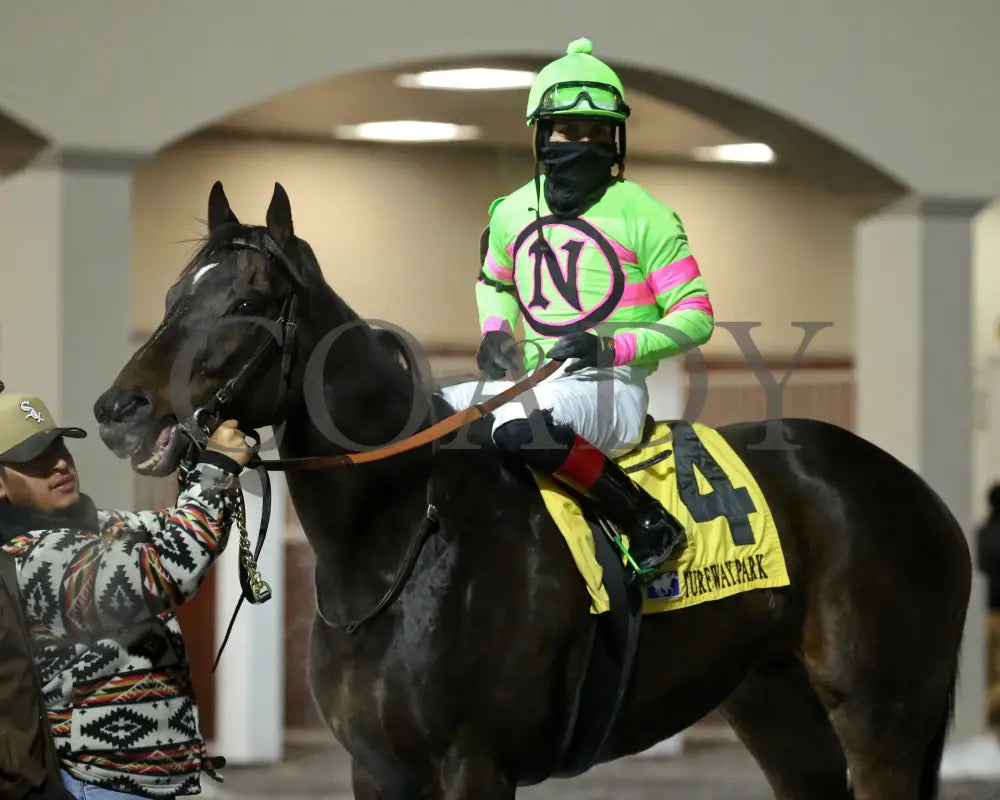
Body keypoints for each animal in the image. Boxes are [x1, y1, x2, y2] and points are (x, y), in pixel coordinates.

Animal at [94, 183, 968, 800]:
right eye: (173, 299)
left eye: (245, 302)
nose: (116, 411)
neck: (404, 535)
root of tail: (918, 491)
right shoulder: (377, 770)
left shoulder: (476, 764)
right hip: (775, 704)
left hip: (884, 719)